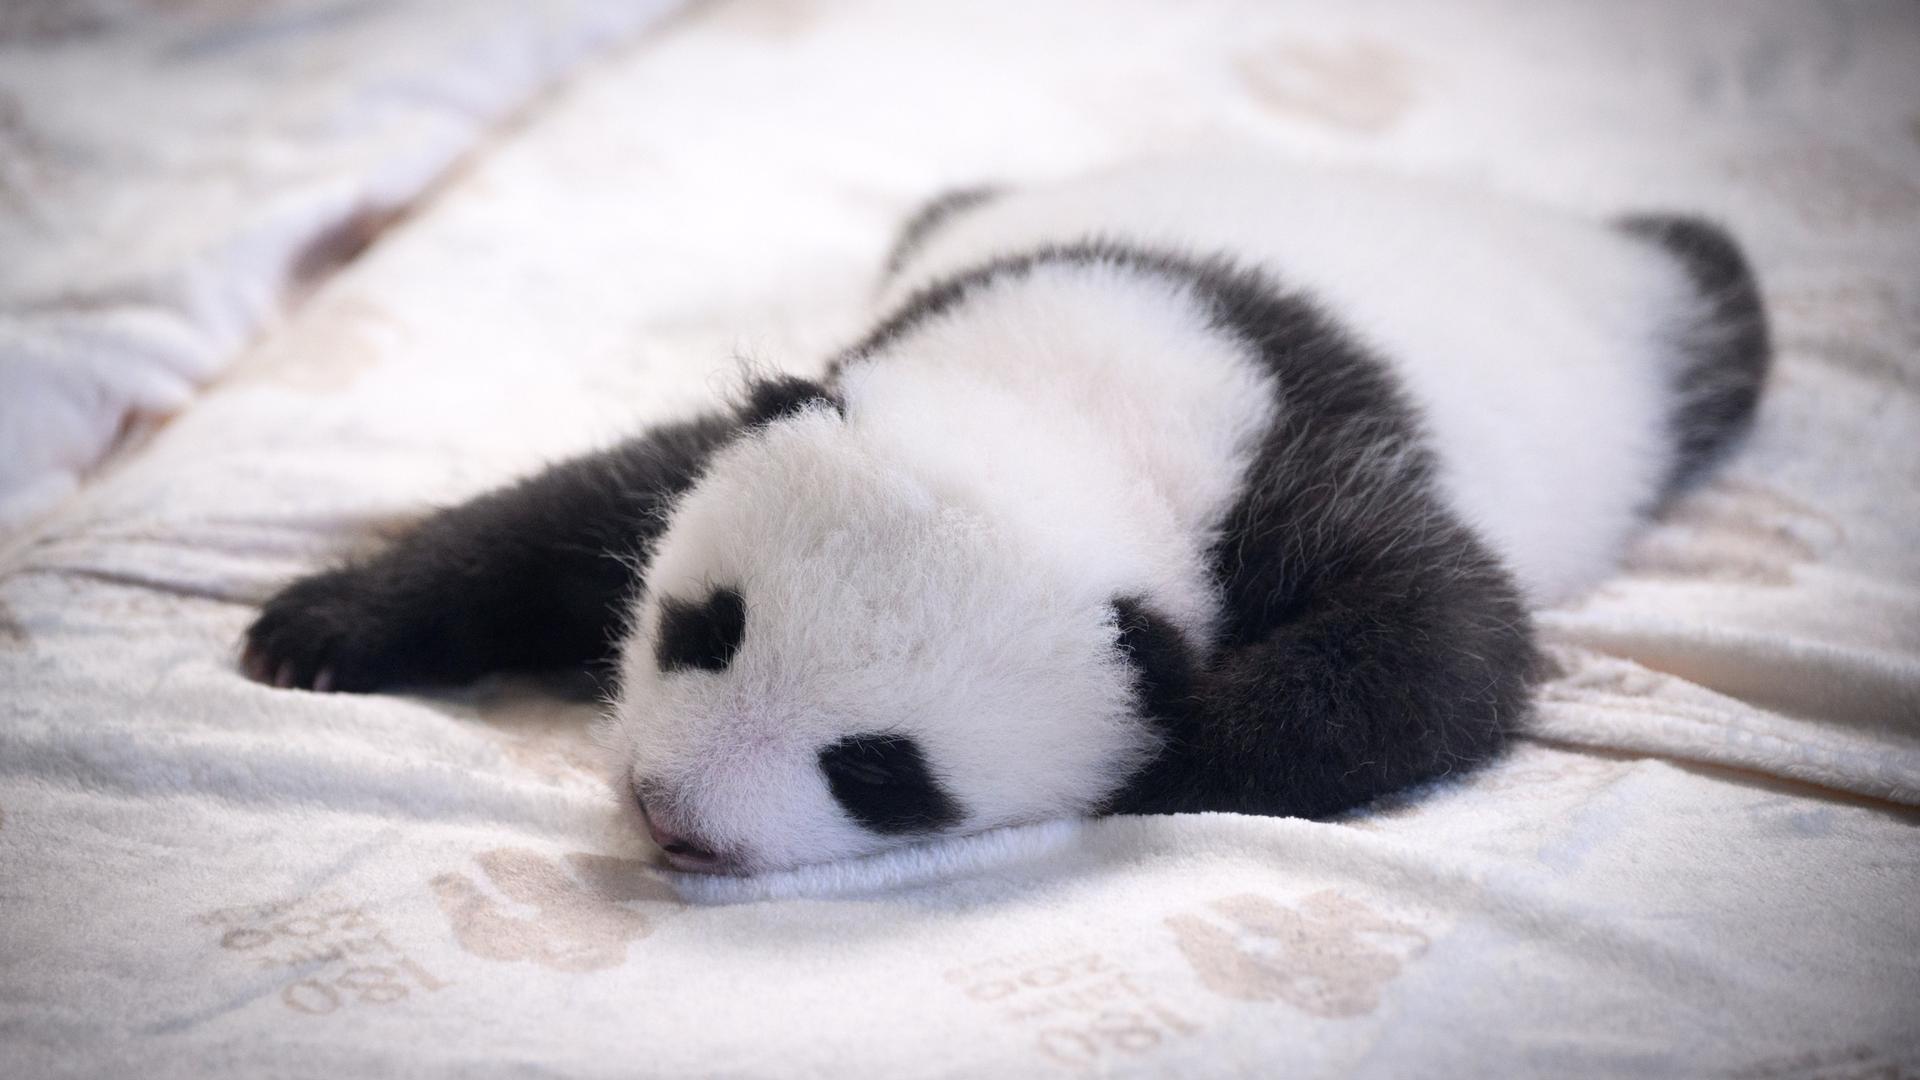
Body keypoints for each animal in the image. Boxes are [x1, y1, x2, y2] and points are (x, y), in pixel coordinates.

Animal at [242, 156, 1769, 876]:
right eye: (702, 629)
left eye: (880, 771)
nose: (672, 818)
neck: (1089, 390)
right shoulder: (851, 363)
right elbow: (573, 513)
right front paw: (321, 627)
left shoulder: (1311, 469)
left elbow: (1446, 646)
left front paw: (1159, 758)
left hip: (1644, 347)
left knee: (1717, 302)